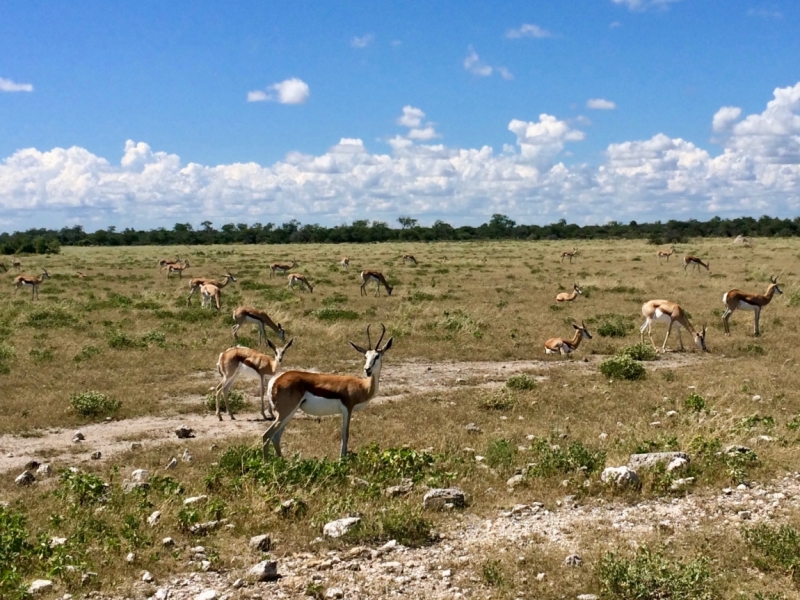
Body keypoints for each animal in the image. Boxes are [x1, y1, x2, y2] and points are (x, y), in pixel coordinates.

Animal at [266, 326, 394, 458]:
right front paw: (341, 459)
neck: (362, 386)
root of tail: (276, 380)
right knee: (267, 435)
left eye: (377, 356)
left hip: (289, 413)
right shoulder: (348, 409)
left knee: (276, 436)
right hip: (285, 412)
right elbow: (345, 435)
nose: (367, 369)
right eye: (365, 356)